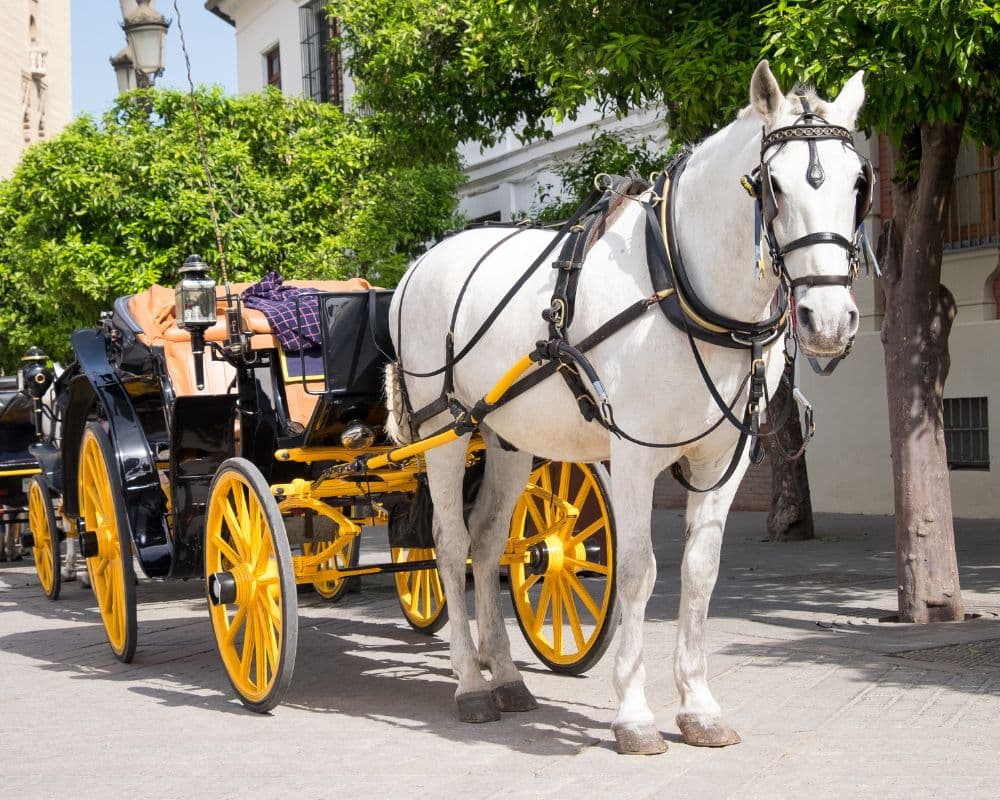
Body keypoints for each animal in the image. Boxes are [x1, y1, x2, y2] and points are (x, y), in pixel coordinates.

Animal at [384, 60, 869, 755]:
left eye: (859, 184)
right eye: (772, 186)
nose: (827, 320)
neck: (679, 282)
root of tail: (418, 264)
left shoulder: (723, 457)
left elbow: (700, 572)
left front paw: (698, 707)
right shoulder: (636, 456)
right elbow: (640, 571)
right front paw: (634, 715)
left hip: (507, 438)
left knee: (487, 541)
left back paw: (505, 675)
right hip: (445, 431)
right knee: (450, 547)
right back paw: (470, 686)